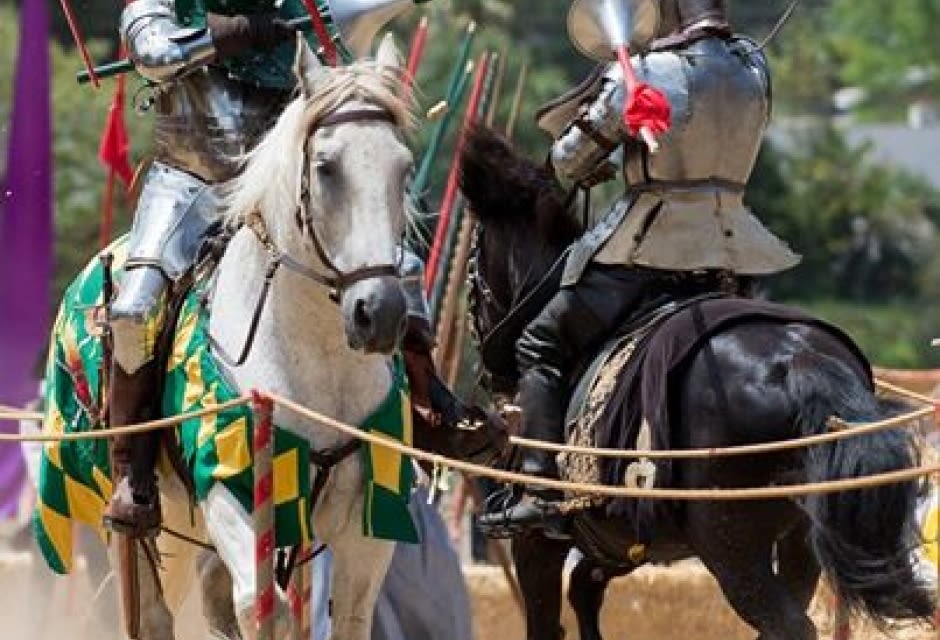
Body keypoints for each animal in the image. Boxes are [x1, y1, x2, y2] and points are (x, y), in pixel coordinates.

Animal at [127, 36, 414, 640]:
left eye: (403, 169)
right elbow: (265, 608)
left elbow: (348, 615)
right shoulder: (230, 492)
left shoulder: (368, 524)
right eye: (326, 168)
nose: (378, 313)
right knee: (155, 611)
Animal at [458, 126, 932, 640]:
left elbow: (548, 617)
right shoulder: (623, 540)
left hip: (729, 544)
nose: (487, 371)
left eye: (474, 265)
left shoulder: (537, 544)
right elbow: (585, 588)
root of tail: (799, 358)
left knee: (787, 624)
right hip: (800, 540)